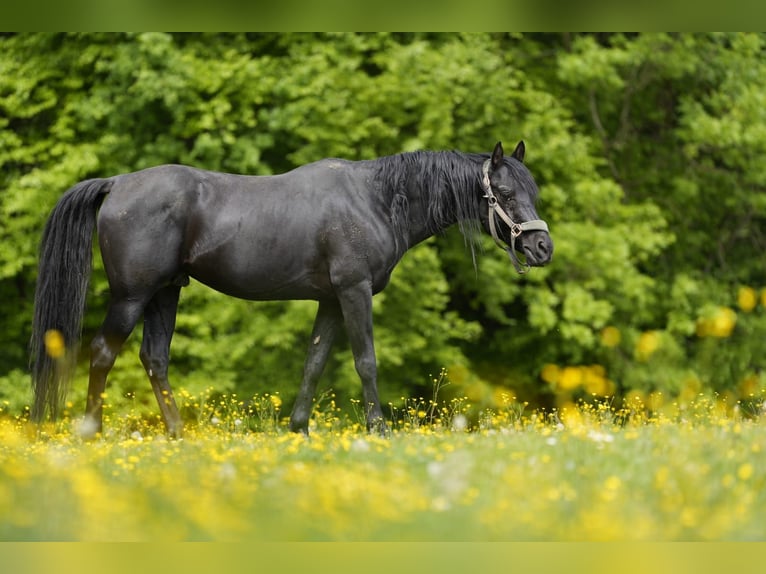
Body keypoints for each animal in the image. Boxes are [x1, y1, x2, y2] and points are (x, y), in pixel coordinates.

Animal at [30, 142, 556, 438]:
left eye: (531, 191)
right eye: (504, 193)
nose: (542, 247)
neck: (375, 199)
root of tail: (118, 183)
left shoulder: (330, 300)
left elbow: (315, 361)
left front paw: (298, 429)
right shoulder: (354, 291)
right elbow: (365, 360)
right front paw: (379, 430)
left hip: (166, 293)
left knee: (154, 358)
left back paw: (179, 436)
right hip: (133, 296)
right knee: (102, 352)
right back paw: (92, 433)